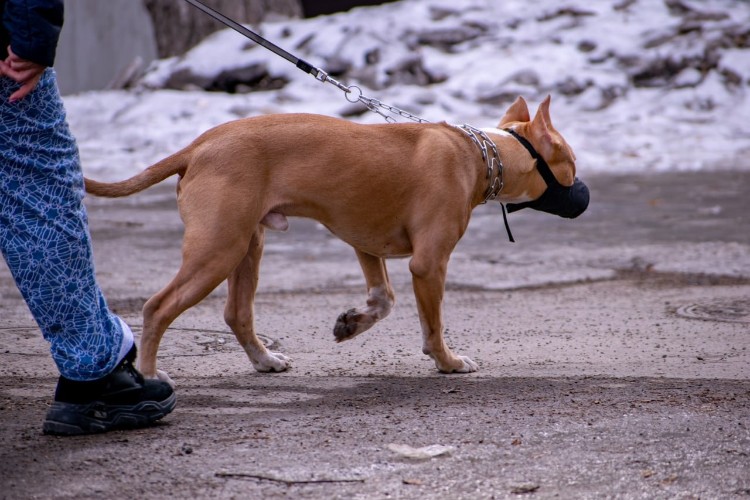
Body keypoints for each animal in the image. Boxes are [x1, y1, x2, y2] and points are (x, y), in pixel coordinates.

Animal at [85, 95, 584, 382]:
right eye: (573, 165)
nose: (584, 193)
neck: (484, 153)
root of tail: (198, 146)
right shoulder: (429, 263)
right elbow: (432, 325)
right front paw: (448, 362)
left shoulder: (366, 244)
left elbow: (383, 300)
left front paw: (352, 323)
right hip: (218, 250)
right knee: (158, 307)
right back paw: (151, 376)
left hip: (247, 246)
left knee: (236, 313)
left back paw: (265, 361)